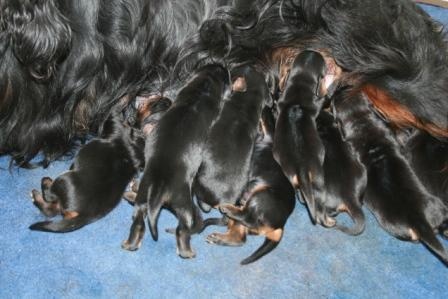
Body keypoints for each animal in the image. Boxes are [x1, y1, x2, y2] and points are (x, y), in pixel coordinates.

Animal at [122, 64, 231, 258]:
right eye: (224, 73)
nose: (225, 67)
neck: (202, 88)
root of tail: (158, 190)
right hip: (183, 205)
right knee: (182, 230)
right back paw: (187, 252)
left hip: (142, 198)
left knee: (138, 222)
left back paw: (130, 244)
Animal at [214, 107, 296, 264]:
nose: (267, 106)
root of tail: (280, 226)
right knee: (240, 236)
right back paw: (219, 238)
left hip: (262, 196)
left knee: (247, 218)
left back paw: (227, 209)